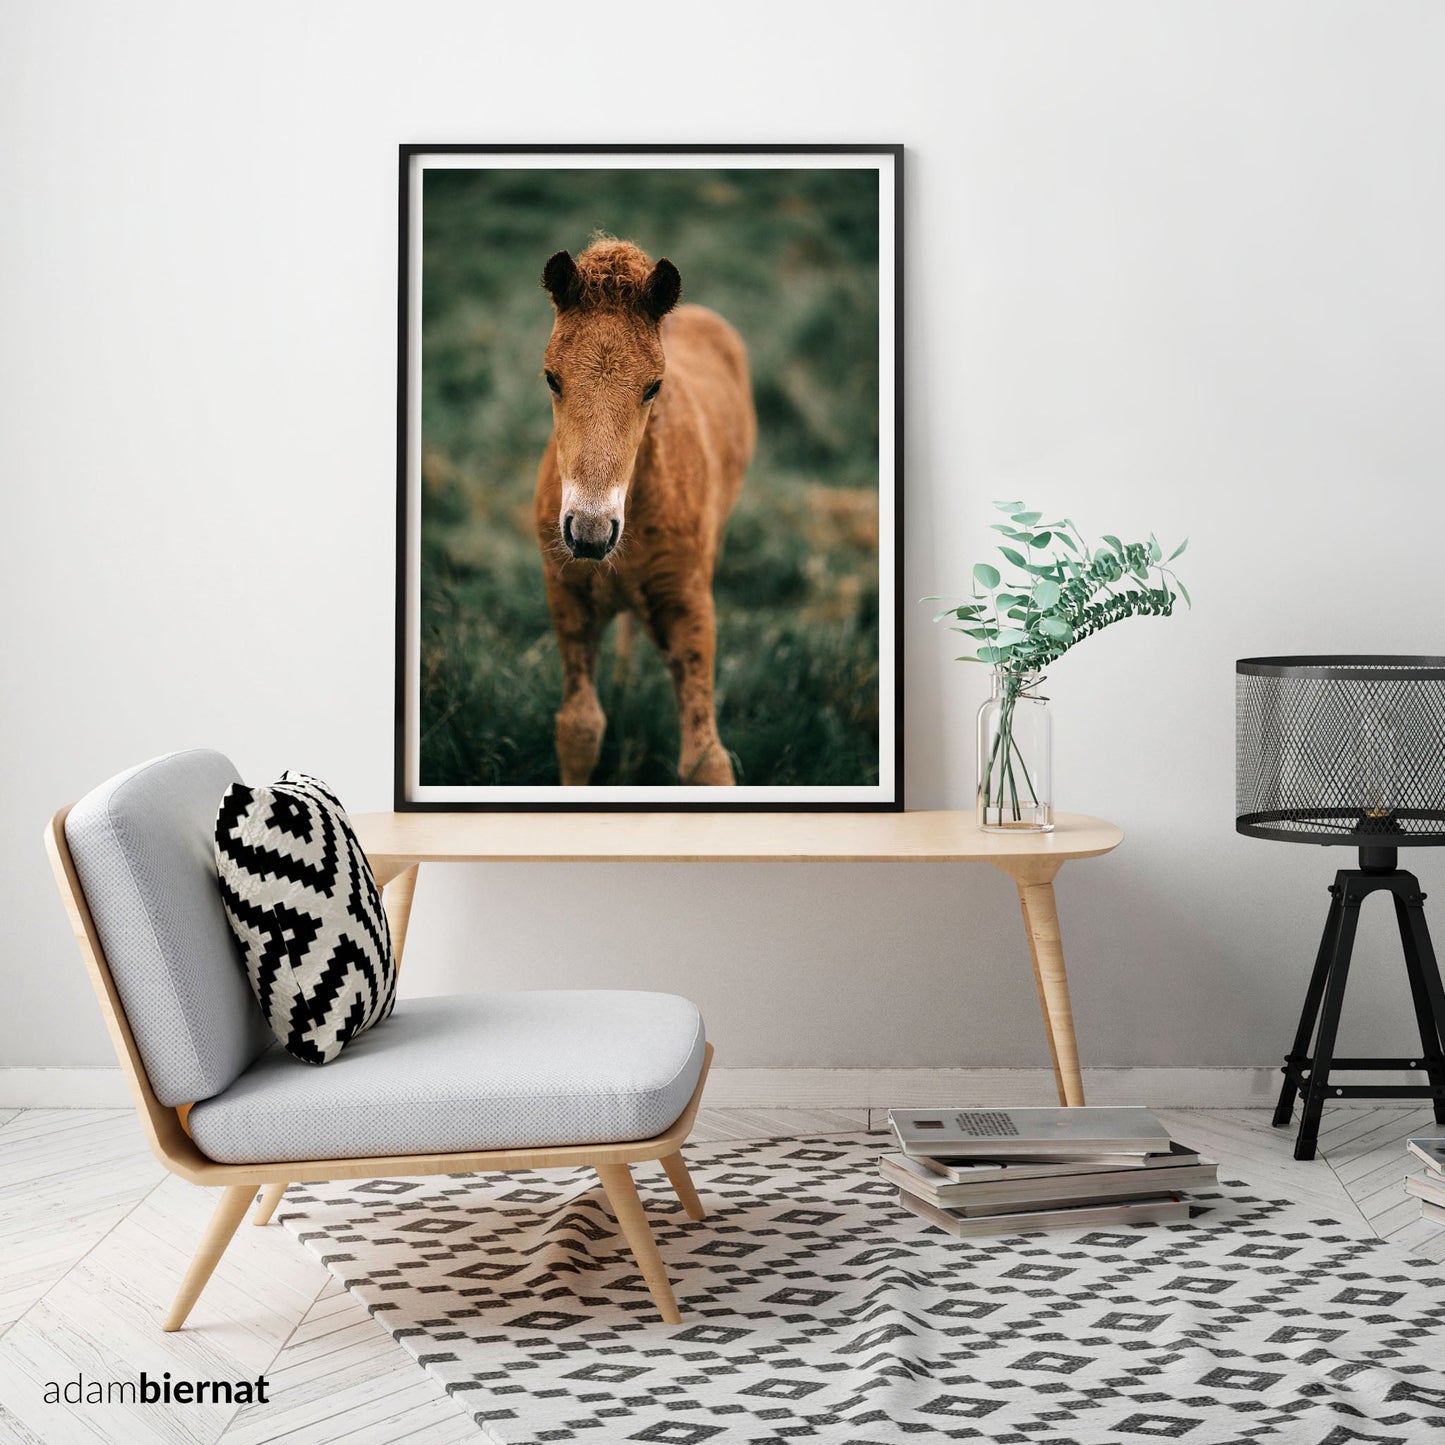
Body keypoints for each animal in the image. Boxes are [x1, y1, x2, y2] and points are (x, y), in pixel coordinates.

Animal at [534, 238, 755, 786]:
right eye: (552, 378)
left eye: (653, 386)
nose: (590, 534)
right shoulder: (566, 593)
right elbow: (580, 728)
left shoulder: (689, 604)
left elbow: (705, 759)